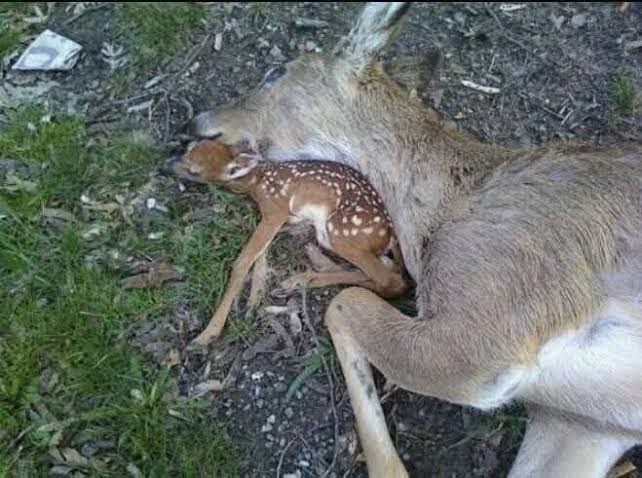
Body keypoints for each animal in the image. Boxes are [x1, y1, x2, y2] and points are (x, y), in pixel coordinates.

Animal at [165, 139, 406, 346]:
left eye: (194, 171)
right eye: (190, 147)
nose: (167, 165)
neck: (256, 182)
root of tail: (390, 235)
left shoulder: (276, 209)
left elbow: (243, 260)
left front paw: (208, 334)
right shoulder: (284, 218)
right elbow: (259, 254)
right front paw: (254, 300)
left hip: (339, 229)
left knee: (391, 280)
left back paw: (297, 280)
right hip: (327, 234)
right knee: (384, 268)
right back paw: (301, 276)